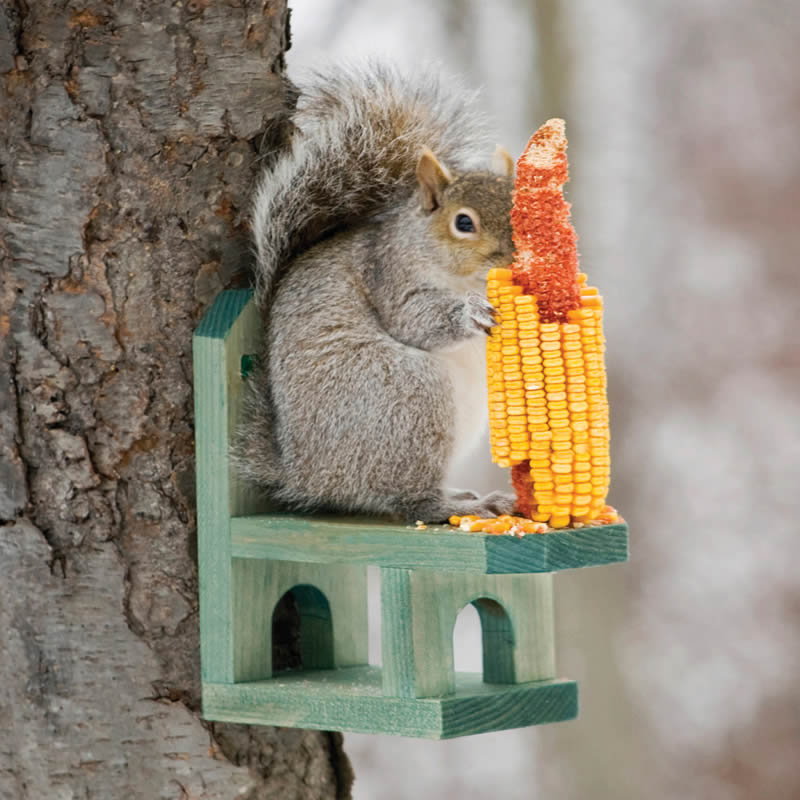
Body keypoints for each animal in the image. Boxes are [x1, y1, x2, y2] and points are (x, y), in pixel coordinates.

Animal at [233, 64, 520, 524]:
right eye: (463, 223)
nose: (513, 259)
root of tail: (303, 475)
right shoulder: (388, 276)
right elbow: (414, 320)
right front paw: (471, 313)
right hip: (405, 396)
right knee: (404, 498)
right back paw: (456, 505)